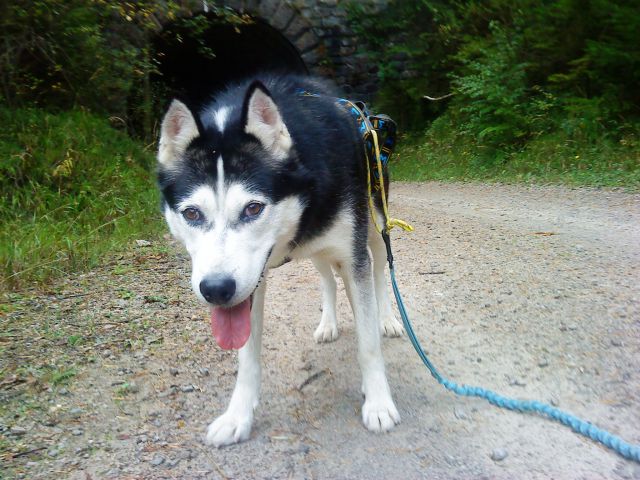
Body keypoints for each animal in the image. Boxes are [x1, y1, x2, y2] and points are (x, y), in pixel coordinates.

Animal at [158, 74, 402, 446]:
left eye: (253, 208)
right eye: (191, 213)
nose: (216, 289)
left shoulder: (352, 254)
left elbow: (368, 343)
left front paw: (378, 402)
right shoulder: (249, 284)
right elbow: (247, 355)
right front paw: (238, 416)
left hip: (374, 223)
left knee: (379, 270)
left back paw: (387, 318)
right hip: (318, 249)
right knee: (327, 279)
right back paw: (328, 323)